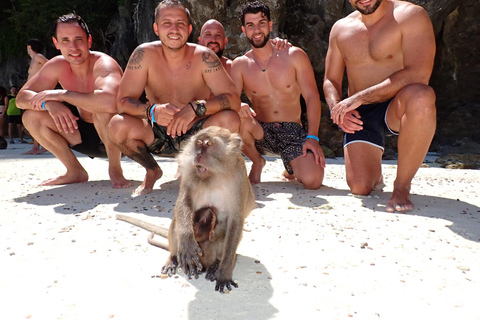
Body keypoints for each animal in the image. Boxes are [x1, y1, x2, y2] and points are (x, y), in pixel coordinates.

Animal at [116, 127, 256, 292]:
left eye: (209, 144)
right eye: (199, 143)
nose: (198, 155)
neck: (215, 175)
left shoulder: (239, 177)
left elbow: (235, 221)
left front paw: (224, 273)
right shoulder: (189, 171)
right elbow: (184, 201)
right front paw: (187, 243)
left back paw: (216, 264)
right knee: (177, 222)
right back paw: (173, 257)